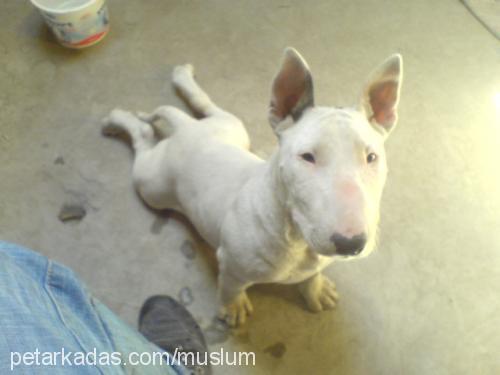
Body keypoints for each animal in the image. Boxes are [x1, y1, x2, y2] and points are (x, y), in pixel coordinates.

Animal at [102, 48, 402, 328]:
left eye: (371, 157)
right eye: (307, 157)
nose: (351, 243)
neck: (296, 238)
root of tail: (185, 131)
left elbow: (312, 275)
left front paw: (315, 289)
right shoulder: (231, 265)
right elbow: (230, 287)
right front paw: (232, 307)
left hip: (232, 128)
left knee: (206, 105)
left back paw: (182, 76)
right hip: (151, 184)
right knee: (142, 138)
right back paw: (117, 119)